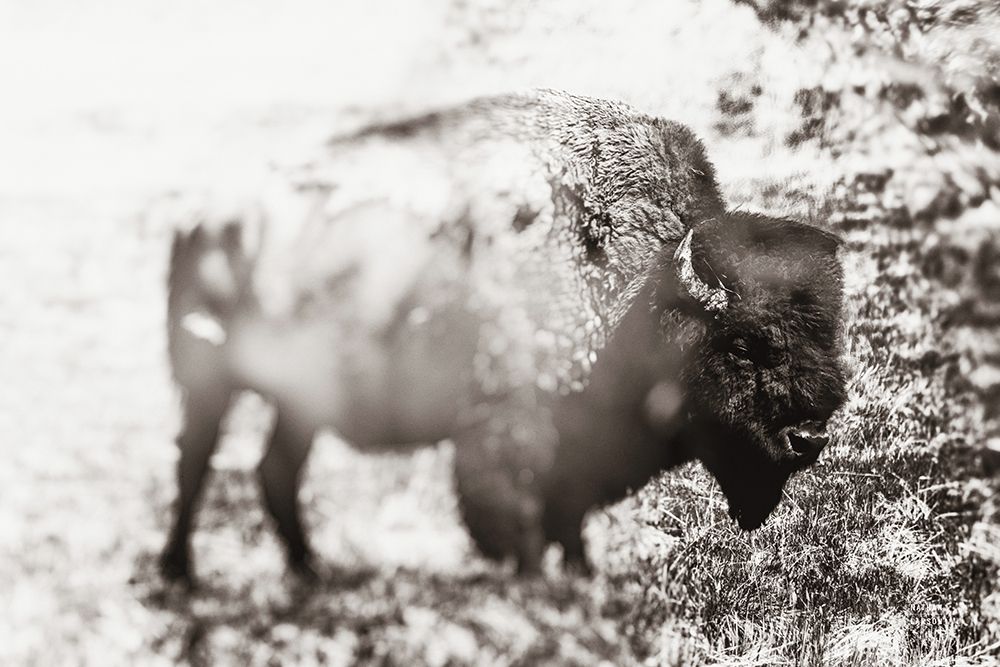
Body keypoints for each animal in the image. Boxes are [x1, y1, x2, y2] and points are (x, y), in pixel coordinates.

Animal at [159, 89, 846, 583]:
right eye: (745, 344)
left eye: (830, 339)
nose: (810, 436)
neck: (643, 288)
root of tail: (203, 219)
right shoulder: (510, 423)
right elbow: (519, 513)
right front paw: (535, 582)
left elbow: (569, 514)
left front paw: (582, 577)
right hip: (208, 380)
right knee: (195, 461)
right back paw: (182, 573)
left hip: (299, 400)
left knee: (275, 469)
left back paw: (309, 574)